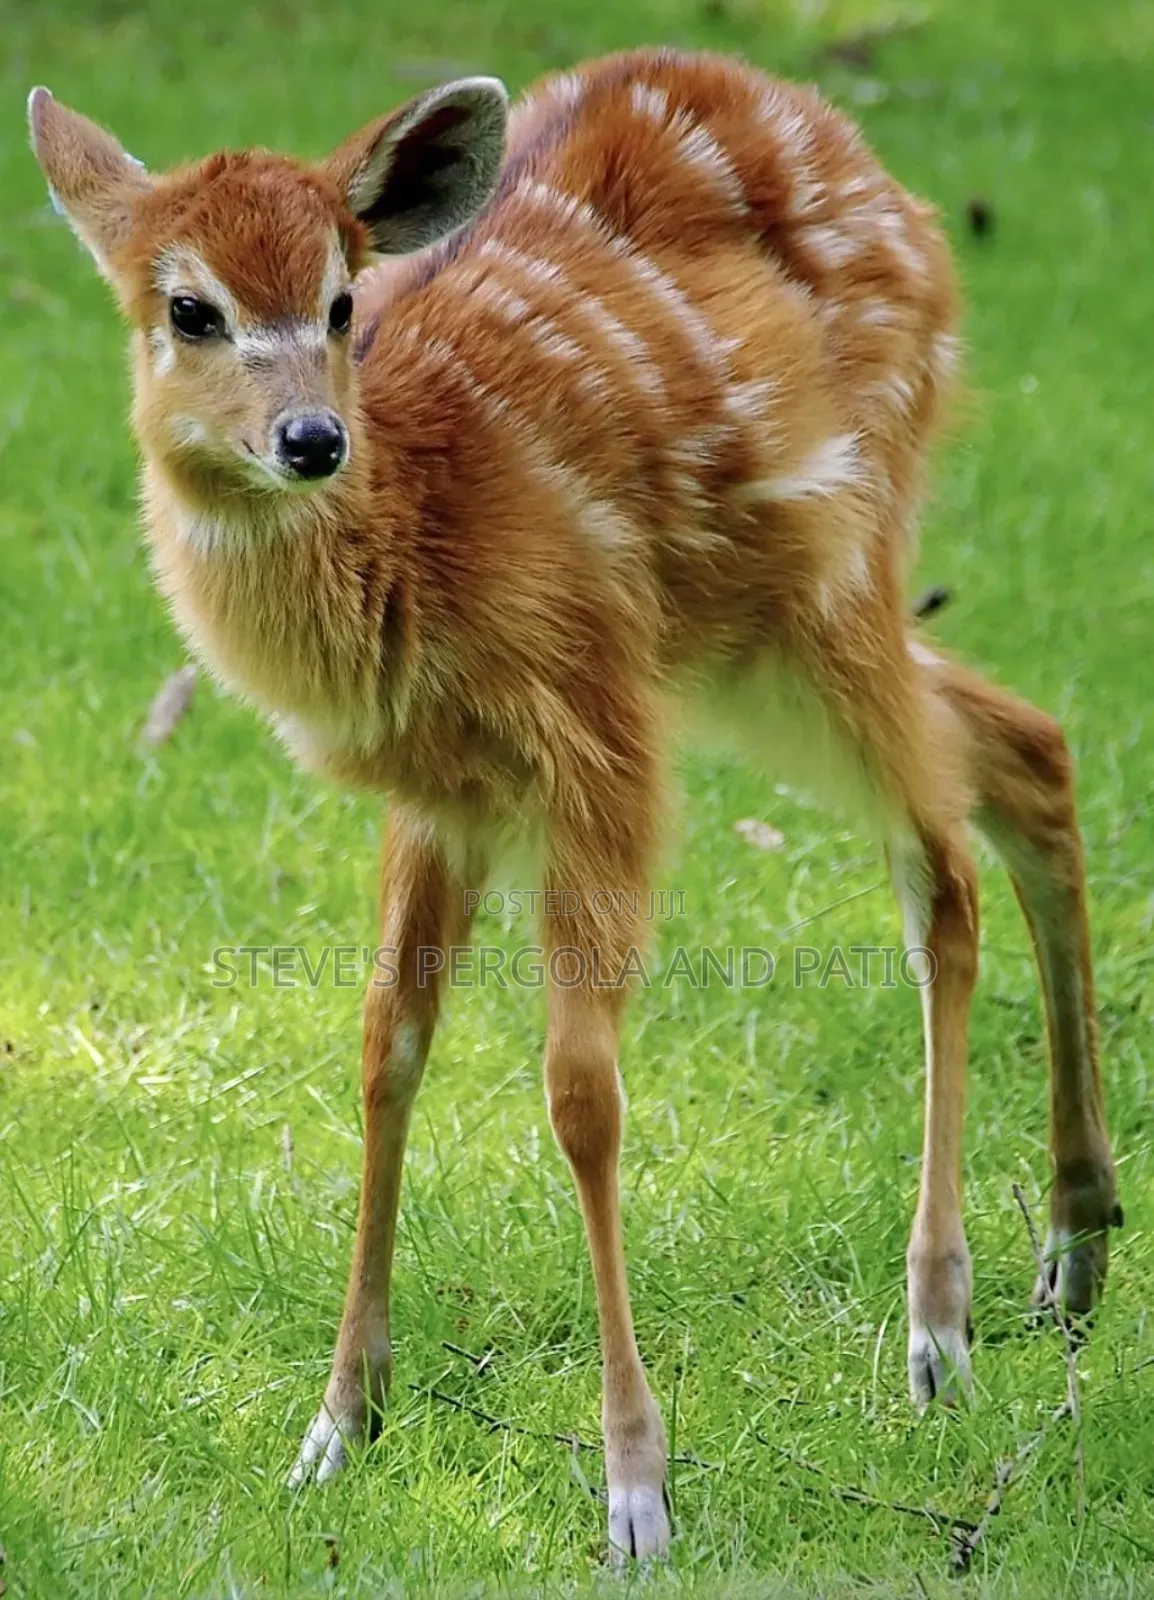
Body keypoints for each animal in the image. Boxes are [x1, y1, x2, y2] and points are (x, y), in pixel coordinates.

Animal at [29, 48, 1119, 1561]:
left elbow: (580, 1090)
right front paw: (336, 1427)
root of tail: (903, 206)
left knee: (938, 868)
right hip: (746, 643)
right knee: (1026, 743)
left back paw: (937, 1329)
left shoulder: (591, 730)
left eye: (341, 300)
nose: (309, 438)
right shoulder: (442, 791)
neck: (420, 531)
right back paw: (1073, 1244)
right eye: (188, 308)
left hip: (831, 567)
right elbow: (385, 1049)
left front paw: (636, 1490)